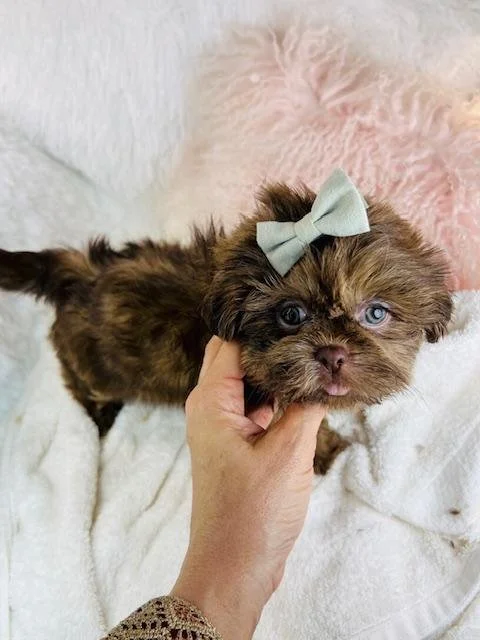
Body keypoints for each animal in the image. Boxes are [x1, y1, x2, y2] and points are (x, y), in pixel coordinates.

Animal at [0, 182, 452, 472]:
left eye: (375, 313)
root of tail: (79, 273)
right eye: (291, 315)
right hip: (92, 366)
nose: (333, 354)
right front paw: (323, 451)